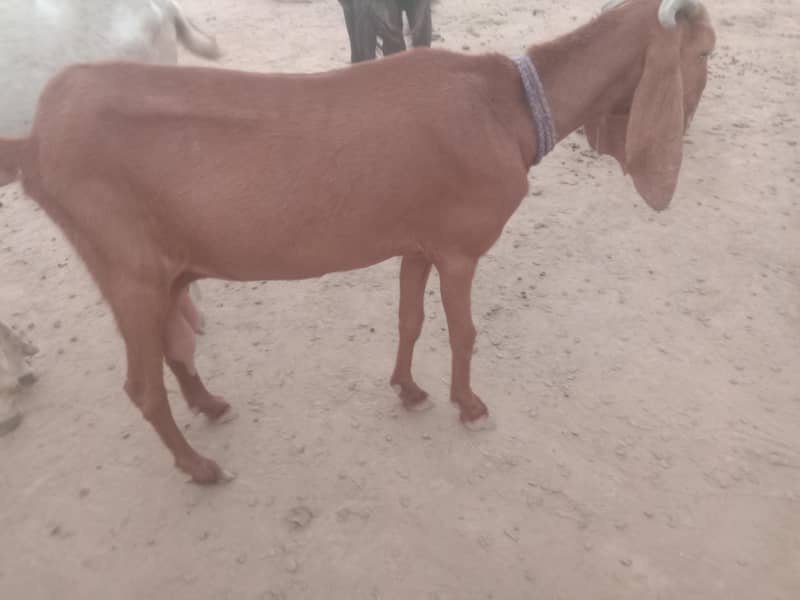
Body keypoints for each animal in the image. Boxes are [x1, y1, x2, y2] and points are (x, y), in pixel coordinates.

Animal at [0, 0, 715, 483]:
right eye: (706, 51)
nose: (691, 127)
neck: (506, 105)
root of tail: (34, 144)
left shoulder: (419, 240)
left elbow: (409, 318)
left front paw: (407, 389)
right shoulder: (460, 247)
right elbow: (464, 332)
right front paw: (469, 405)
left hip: (163, 263)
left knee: (174, 342)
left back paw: (209, 405)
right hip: (126, 268)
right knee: (141, 387)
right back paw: (201, 467)